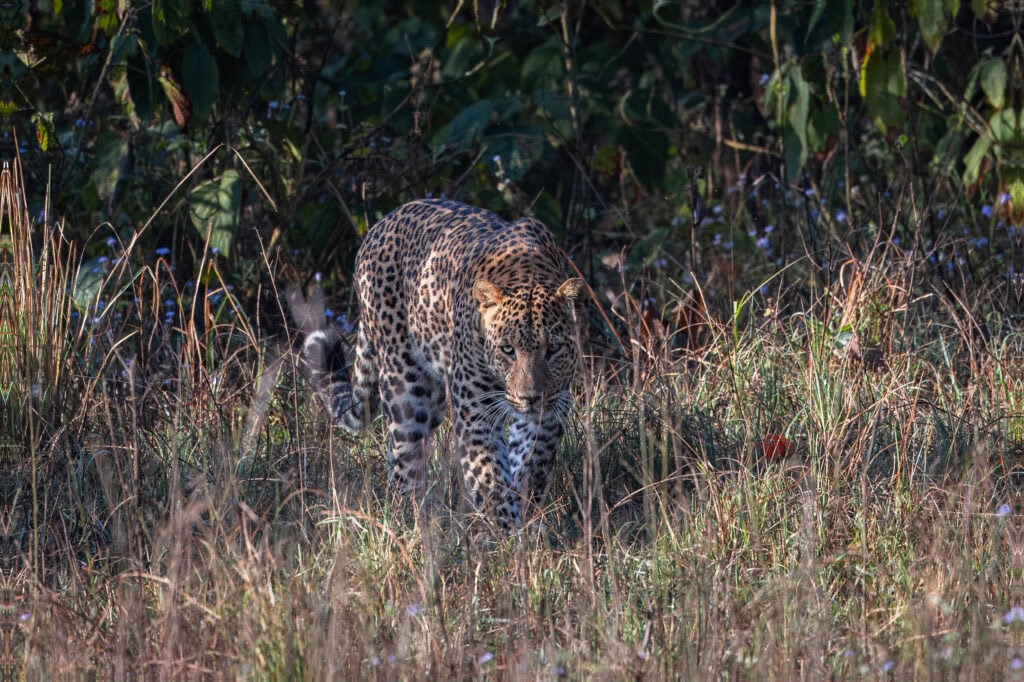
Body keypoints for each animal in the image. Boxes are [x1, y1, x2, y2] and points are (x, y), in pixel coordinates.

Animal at [300, 198, 585, 528]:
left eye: (553, 349)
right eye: (508, 350)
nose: (531, 398)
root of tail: (379, 226)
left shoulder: (552, 408)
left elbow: (532, 462)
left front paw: (525, 511)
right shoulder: (476, 412)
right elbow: (489, 477)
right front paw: (504, 532)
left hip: (434, 398)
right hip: (405, 385)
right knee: (405, 456)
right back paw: (411, 520)